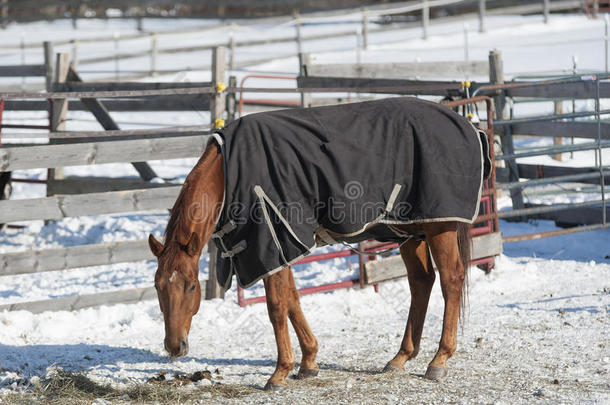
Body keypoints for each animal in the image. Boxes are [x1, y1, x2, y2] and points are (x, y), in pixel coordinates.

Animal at [147, 138, 470, 388]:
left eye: (191, 287)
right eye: (157, 286)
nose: (174, 346)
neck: (227, 173)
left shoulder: (270, 245)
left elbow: (277, 307)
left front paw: (280, 372)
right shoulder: (282, 250)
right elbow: (292, 299)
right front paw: (308, 361)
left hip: (439, 228)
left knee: (450, 280)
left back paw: (439, 359)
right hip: (409, 232)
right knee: (421, 281)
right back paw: (401, 357)